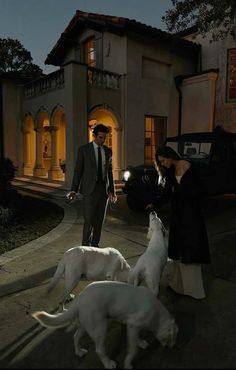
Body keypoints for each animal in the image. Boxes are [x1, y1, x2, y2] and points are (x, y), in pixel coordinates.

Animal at [31, 282, 179, 368]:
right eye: (172, 338)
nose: (171, 348)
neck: (158, 315)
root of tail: (80, 299)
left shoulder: (130, 324)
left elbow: (136, 339)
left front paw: (141, 342)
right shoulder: (132, 325)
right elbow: (133, 350)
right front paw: (128, 364)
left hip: (86, 324)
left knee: (75, 337)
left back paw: (79, 352)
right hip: (100, 327)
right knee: (99, 350)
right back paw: (108, 364)